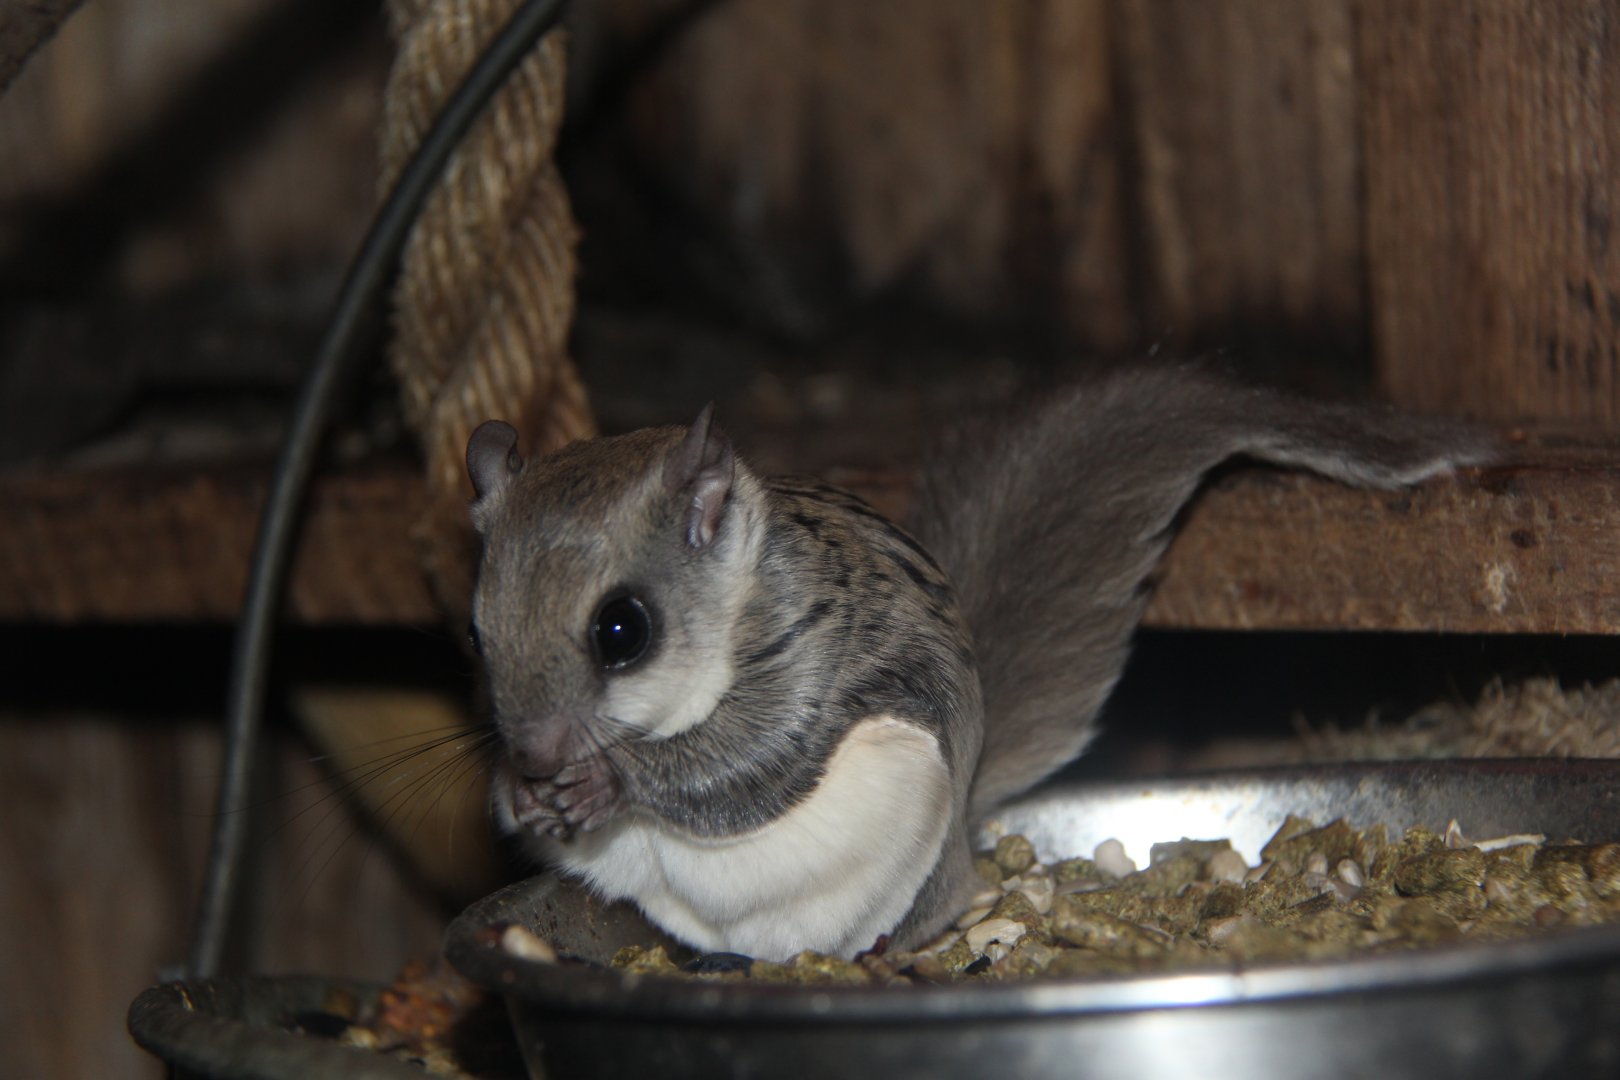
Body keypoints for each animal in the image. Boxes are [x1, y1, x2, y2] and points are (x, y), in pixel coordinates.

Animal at [463, 363, 1495, 960]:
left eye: (622, 629)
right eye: (475, 631)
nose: (539, 752)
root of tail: (963, 833)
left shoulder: (806, 649)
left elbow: (752, 762)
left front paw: (610, 781)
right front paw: (518, 794)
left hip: (909, 809)